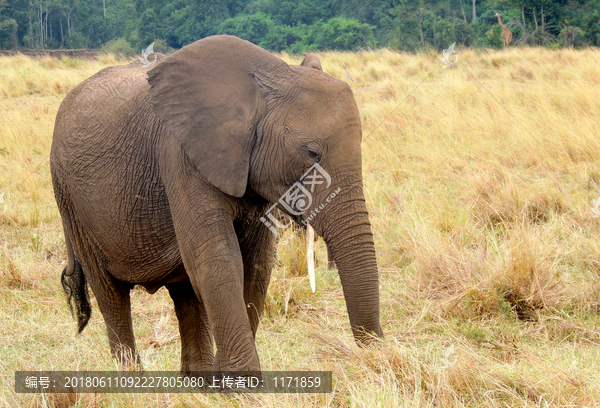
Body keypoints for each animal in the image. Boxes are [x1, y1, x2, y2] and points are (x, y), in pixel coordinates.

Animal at [50, 35, 380, 372]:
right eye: (311, 153)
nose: (374, 350)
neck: (268, 80)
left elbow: (256, 263)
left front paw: (229, 379)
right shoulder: (179, 154)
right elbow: (217, 260)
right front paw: (244, 382)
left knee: (184, 290)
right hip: (70, 200)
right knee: (110, 294)